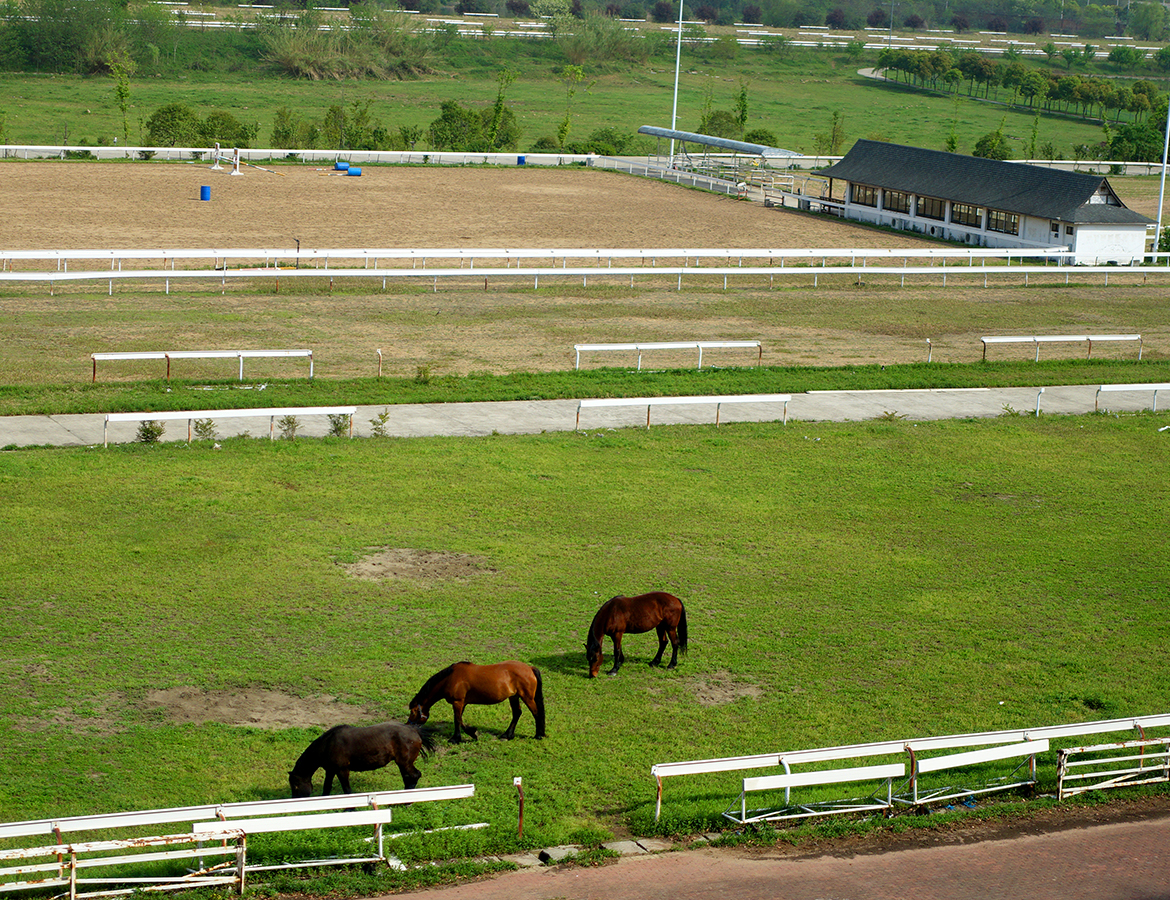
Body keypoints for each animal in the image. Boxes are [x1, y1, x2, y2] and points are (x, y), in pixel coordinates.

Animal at [290, 720, 437, 795]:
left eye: (295, 786)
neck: (329, 744)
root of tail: (415, 730)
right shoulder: (331, 770)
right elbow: (327, 787)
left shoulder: (342, 770)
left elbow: (347, 790)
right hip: (402, 764)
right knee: (408, 777)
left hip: (405, 762)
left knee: (414, 776)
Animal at [407, 660, 547, 744]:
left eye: (413, 712)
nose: (408, 725)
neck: (451, 678)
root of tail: (529, 668)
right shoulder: (462, 703)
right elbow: (459, 720)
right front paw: (465, 735)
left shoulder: (458, 702)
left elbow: (458, 720)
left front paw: (463, 736)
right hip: (514, 697)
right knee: (517, 713)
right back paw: (507, 735)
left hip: (527, 697)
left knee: (536, 713)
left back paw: (538, 735)